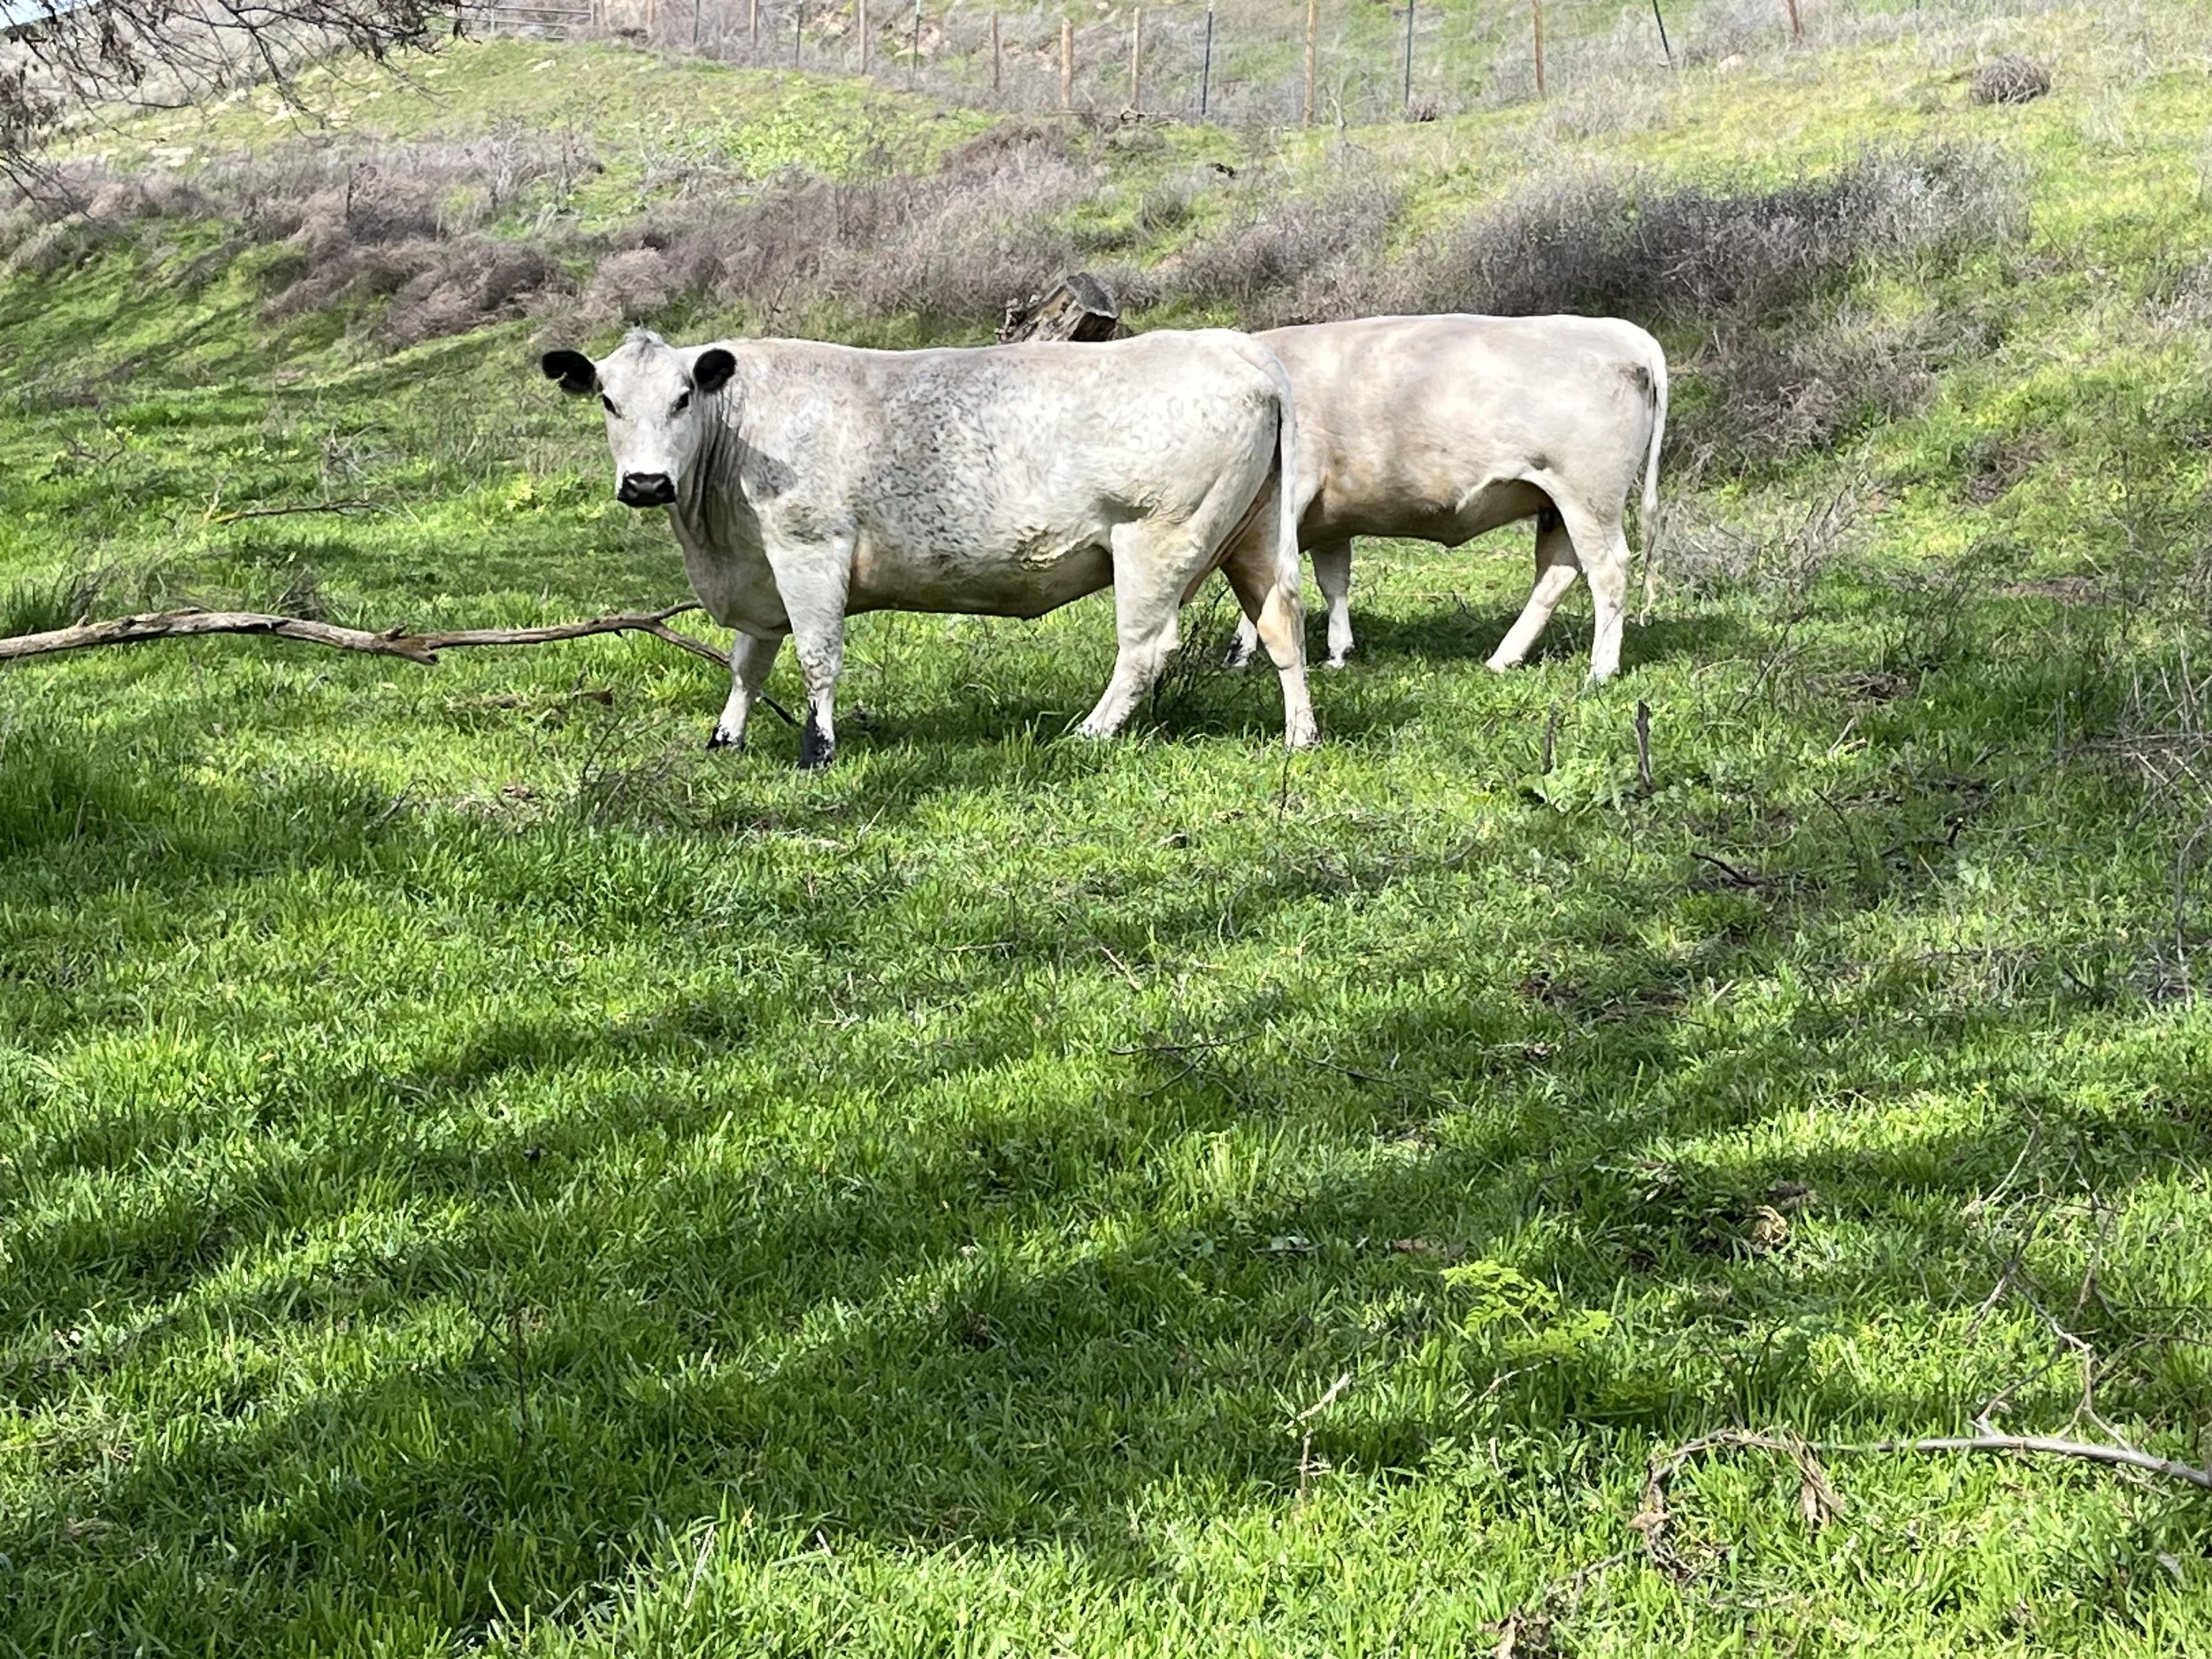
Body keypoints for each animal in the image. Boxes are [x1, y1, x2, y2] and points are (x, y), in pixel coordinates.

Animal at [540, 328, 1316, 769]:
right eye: (607, 400)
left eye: (682, 398)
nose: (645, 482)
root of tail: (1233, 343)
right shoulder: (757, 574)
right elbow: (747, 662)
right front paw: (726, 737)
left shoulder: (810, 549)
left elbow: (816, 657)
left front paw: (818, 749)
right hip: (1251, 536)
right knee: (1283, 629)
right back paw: (1299, 735)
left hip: (1156, 537)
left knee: (1147, 648)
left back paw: (1090, 733)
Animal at [1224, 314, 1668, 686]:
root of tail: (1621, 330)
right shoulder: (1331, 516)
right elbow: (1334, 579)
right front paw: (1338, 652)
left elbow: (1264, 584)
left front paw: (1240, 653)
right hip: (1556, 506)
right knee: (1556, 574)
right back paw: (1503, 658)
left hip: (1588, 498)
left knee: (1608, 572)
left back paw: (1601, 670)